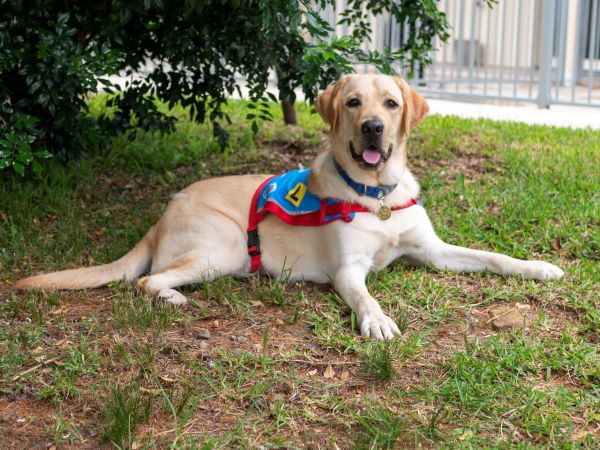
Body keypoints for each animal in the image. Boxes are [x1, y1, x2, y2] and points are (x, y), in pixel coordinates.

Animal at [16, 74, 564, 342]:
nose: (372, 128)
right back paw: (174, 297)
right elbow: (366, 296)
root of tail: (161, 216)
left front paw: (537, 267)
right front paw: (377, 321)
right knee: (149, 280)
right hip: (228, 247)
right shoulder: (347, 270)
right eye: (353, 103)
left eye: (390, 104)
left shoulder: (433, 250)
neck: (377, 195)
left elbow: (493, 257)